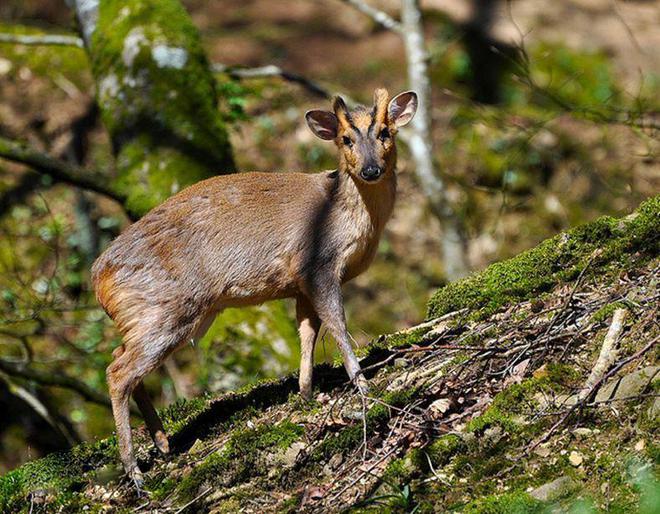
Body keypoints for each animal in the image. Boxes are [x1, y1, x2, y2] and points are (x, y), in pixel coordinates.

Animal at [91, 88, 418, 487]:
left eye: (386, 132)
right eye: (345, 139)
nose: (371, 170)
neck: (351, 222)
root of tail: (98, 279)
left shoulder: (298, 283)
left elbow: (308, 332)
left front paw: (305, 392)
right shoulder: (317, 265)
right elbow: (338, 325)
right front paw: (362, 384)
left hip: (152, 315)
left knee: (119, 357)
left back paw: (164, 443)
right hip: (166, 309)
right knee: (118, 371)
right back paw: (135, 471)